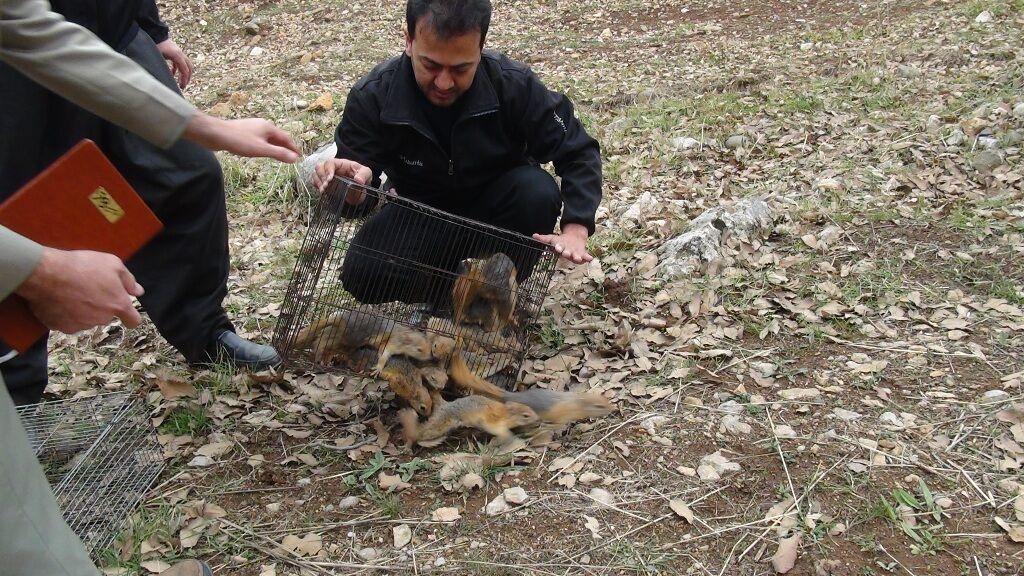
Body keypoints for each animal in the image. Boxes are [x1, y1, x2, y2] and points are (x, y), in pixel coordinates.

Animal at [399, 387, 540, 446]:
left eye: (530, 408)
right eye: (526, 415)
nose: (537, 418)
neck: (506, 413)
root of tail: (445, 405)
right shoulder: (493, 421)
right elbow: (498, 430)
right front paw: (505, 438)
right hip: (439, 425)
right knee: (421, 432)